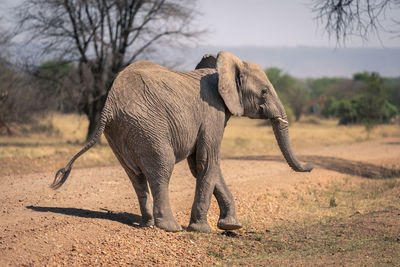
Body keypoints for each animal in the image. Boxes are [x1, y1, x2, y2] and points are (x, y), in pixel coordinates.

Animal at [52, 51, 312, 233]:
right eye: (265, 91)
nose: (310, 166)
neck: (221, 70)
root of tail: (109, 105)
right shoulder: (212, 112)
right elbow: (207, 161)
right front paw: (203, 230)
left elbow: (201, 165)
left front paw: (231, 226)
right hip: (148, 127)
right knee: (162, 168)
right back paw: (170, 227)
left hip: (120, 133)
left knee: (135, 176)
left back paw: (147, 223)